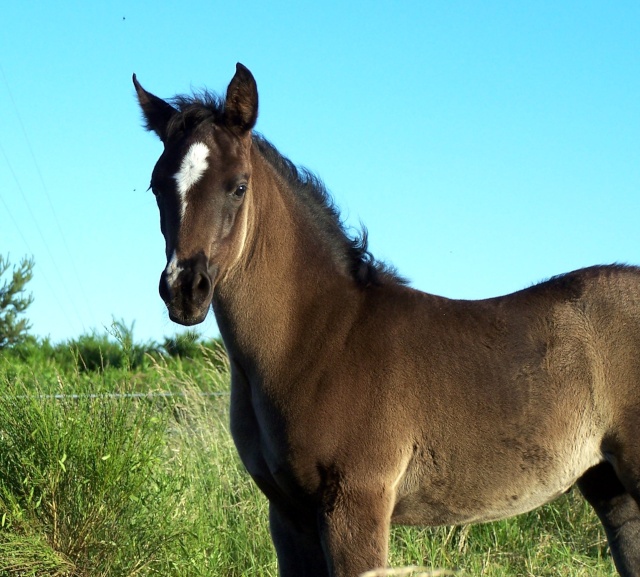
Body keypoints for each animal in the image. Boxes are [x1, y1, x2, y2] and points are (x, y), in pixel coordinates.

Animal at [132, 64, 640, 576]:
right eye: (156, 186)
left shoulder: (356, 502)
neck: (318, 338)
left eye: (238, 185)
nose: (184, 288)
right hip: (609, 486)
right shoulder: (287, 515)